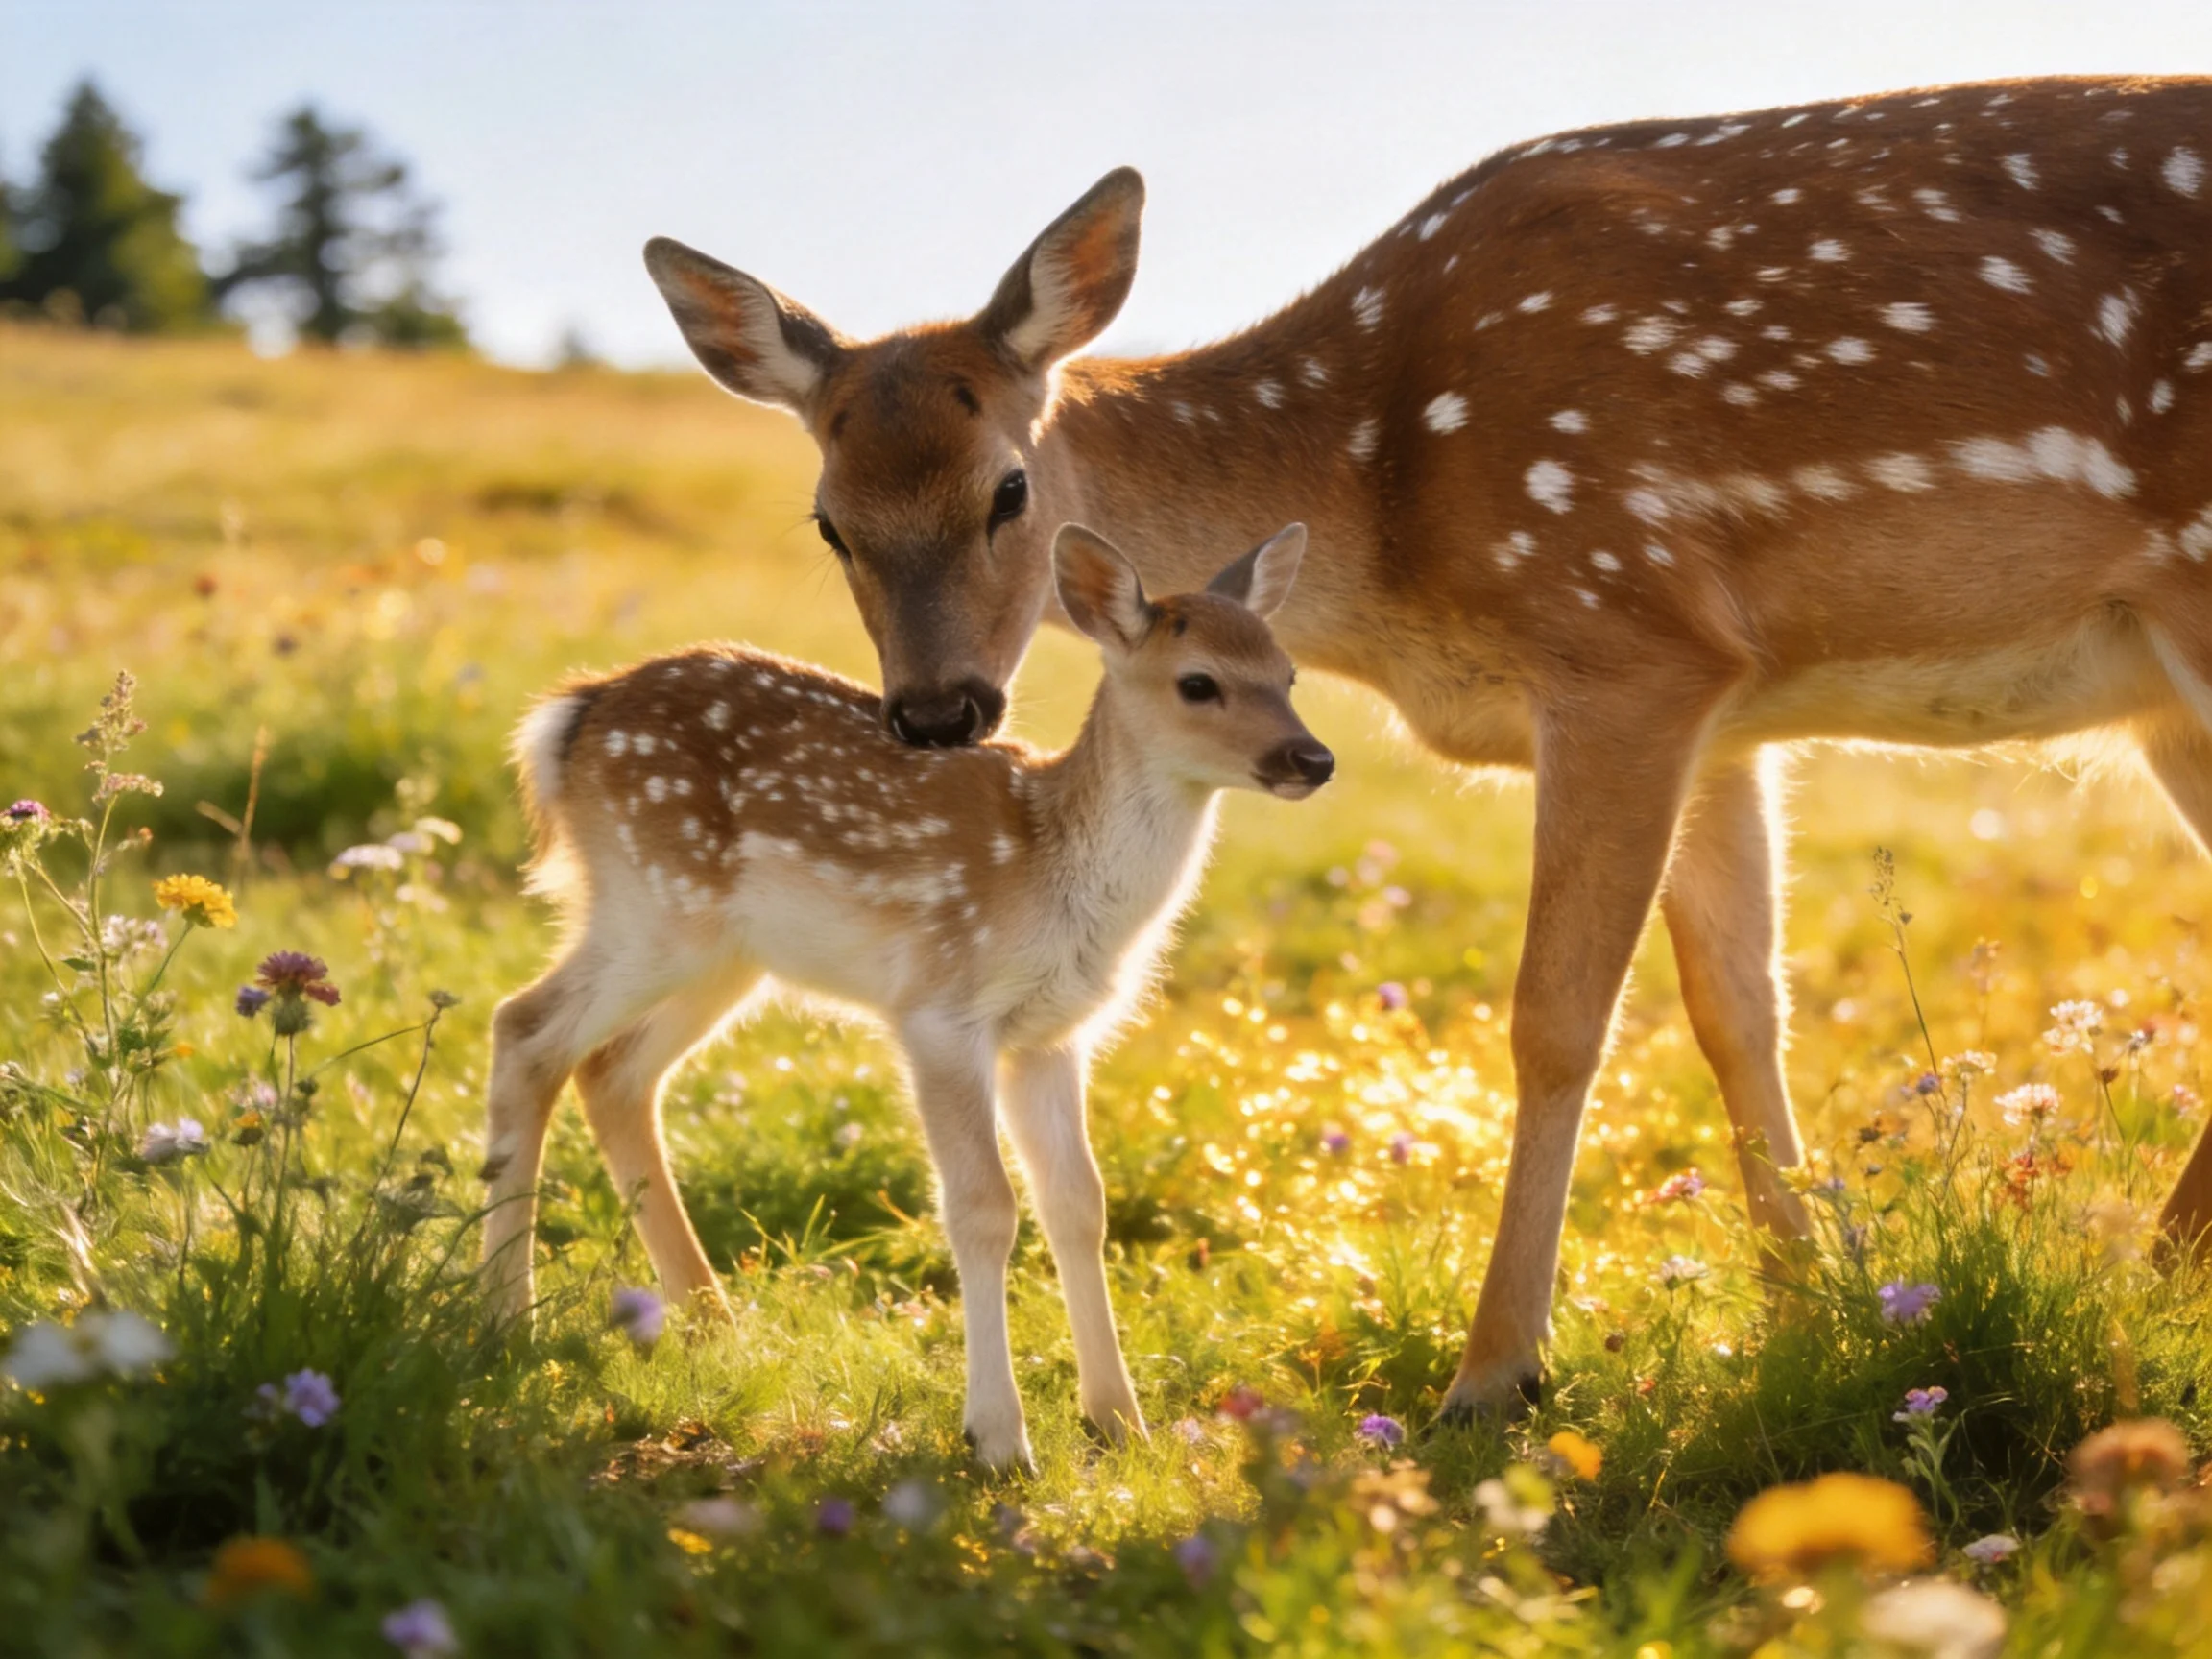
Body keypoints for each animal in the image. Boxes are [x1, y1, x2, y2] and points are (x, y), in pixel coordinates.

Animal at [479, 520, 1330, 1467]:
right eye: (1198, 683)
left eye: (1289, 674)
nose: (1313, 758)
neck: (1052, 868)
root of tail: (567, 719)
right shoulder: (940, 1009)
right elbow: (984, 1207)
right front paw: (999, 1439)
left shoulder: (1050, 1034)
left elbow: (1080, 1205)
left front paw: (1120, 1423)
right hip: (654, 910)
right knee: (524, 1028)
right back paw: (505, 1323)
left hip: (724, 956)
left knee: (611, 1070)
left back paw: (712, 1323)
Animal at [639, 73, 2212, 1423]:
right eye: (828, 520)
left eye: (1008, 489)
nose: (935, 713)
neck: (1382, 500)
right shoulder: (1731, 706)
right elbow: (1736, 1009)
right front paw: (1807, 1311)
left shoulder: (1625, 637)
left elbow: (1556, 1018)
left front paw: (1495, 1372)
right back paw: (2157, 1282)